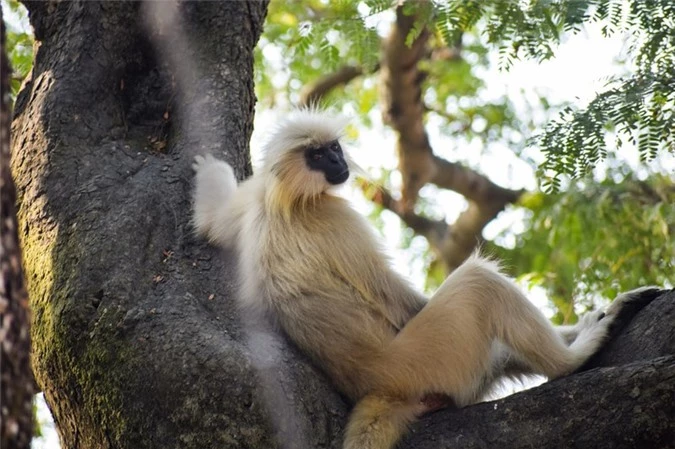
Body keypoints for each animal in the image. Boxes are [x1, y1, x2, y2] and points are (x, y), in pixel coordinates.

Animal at [193, 108, 640, 448]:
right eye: (316, 155)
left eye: (332, 149)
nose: (337, 163)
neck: (289, 201)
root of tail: (384, 387)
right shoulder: (336, 219)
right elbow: (407, 305)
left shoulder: (256, 199)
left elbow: (214, 224)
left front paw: (208, 169)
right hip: (436, 358)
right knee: (477, 281)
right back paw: (574, 356)